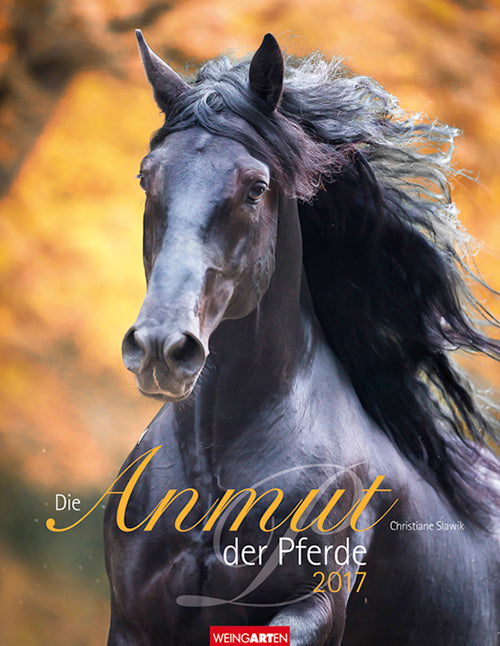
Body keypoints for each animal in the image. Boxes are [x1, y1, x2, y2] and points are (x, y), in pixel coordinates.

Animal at [104, 32, 500, 645]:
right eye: (148, 176)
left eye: (256, 188)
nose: (161, 348)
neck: (214, 466)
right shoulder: (133, 621)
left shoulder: (314, 607)